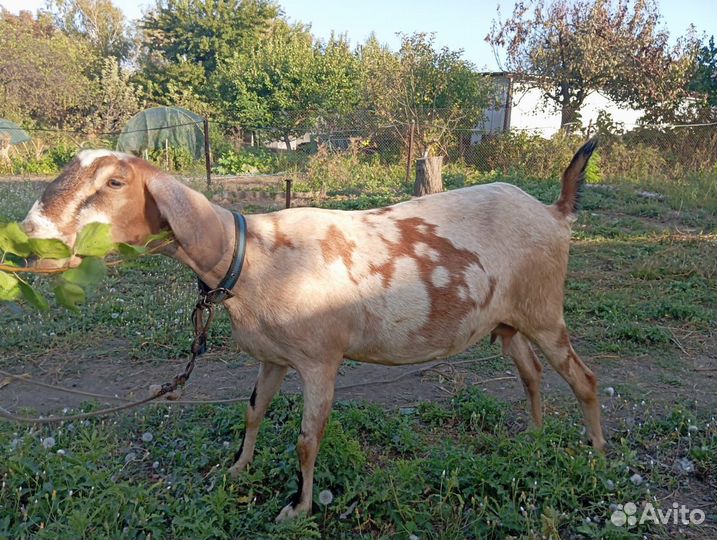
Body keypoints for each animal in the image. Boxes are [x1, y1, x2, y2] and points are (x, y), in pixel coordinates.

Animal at [22, 141, 605, 521]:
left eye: (115, 182)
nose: (30, 235)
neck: (247, 258)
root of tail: (555, 213)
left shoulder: (321, 358)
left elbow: (308, 438)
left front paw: (297, 508)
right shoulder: (272, 357)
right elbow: (253, 411)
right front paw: (238, 470)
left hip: (544, 310)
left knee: (584, 378)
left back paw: (597, 455)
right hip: (508, 320)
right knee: (531, 373)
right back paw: (534, 439)